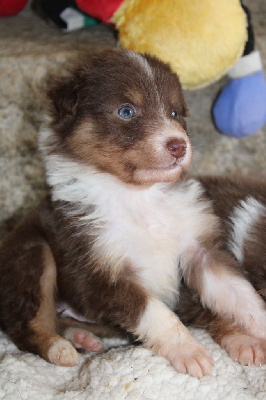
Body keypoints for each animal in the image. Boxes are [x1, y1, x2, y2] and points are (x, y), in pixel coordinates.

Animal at [0, 49, 266, 378]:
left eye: (175, 113)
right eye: (126, 111)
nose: (179, 146)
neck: (138, 196)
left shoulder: (202, 251)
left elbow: (241, 295)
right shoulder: (98, 271)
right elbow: (156, 313)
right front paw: (190, 351)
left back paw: (81, 337)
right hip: (32, 254)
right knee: (26, 324)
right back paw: (59, 348)